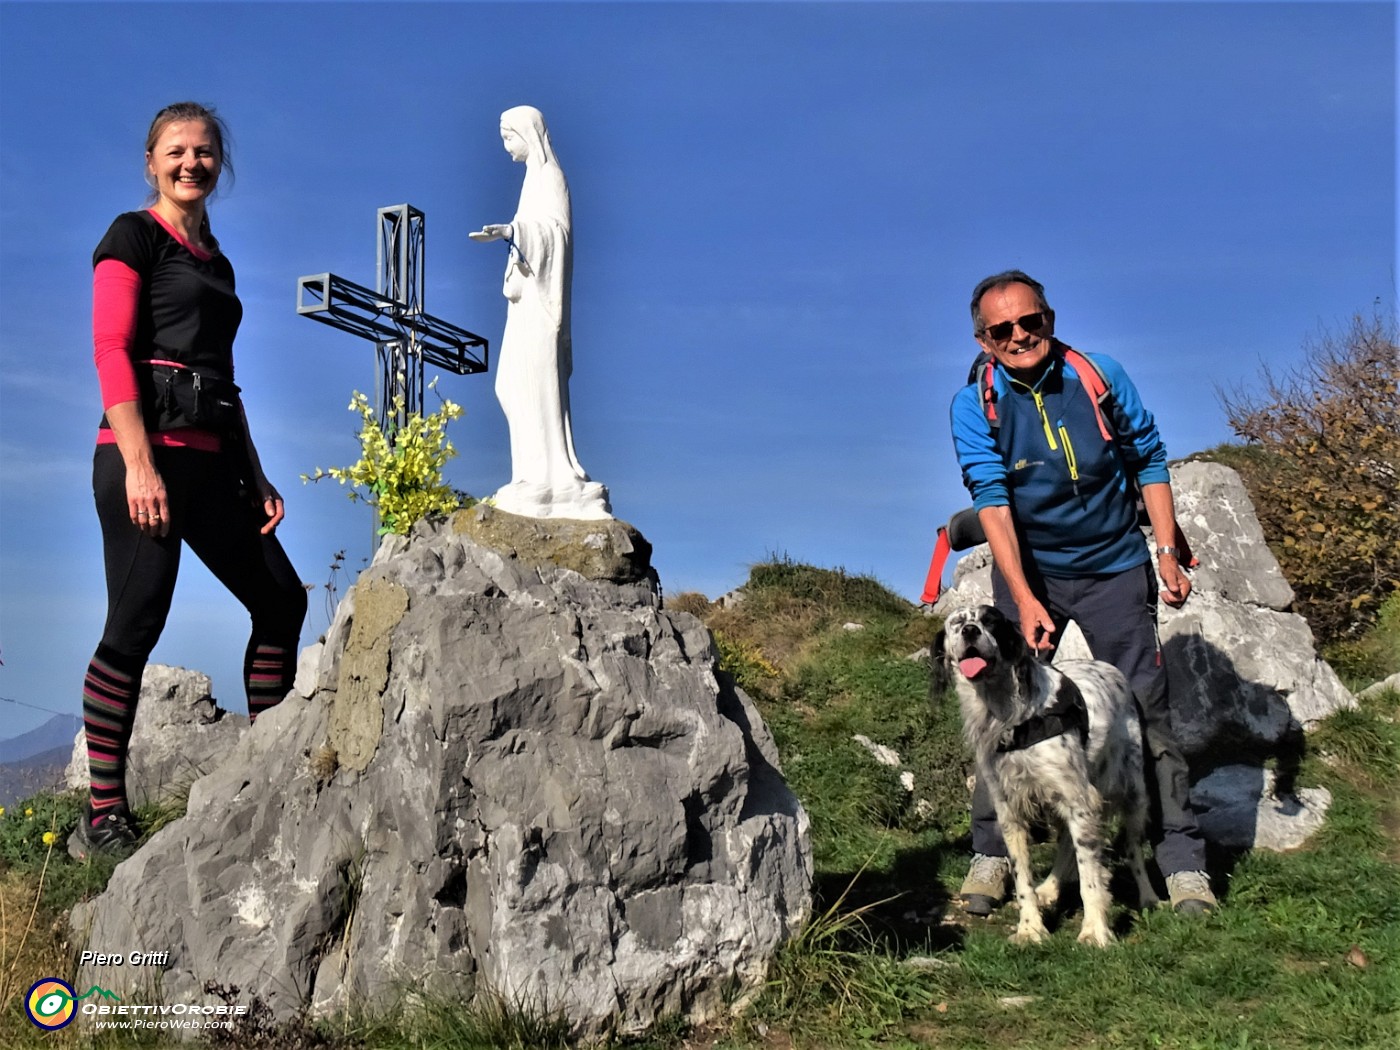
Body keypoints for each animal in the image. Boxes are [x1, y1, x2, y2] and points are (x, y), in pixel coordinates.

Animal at [935, 604, 1153, 952]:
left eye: (990, 621)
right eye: (957, 623)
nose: (970, 631)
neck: (1007, 715)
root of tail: (1109, 667)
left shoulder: (1080, 800)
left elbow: (1090, 879)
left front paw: (1095, 931)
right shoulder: (1010, 810)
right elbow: (1022, 876)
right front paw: (1030, 928)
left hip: (1132, 791)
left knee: (1132, 850)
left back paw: (1148, 897)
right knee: (1066, 844)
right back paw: (1050, 888)